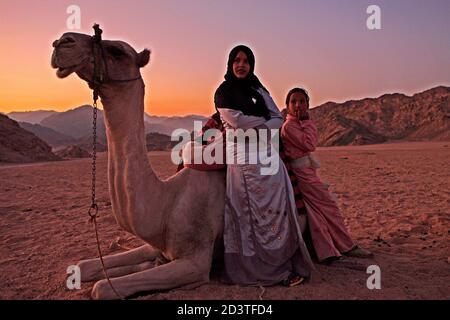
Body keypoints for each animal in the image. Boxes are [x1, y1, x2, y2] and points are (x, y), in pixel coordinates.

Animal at [51, 31, 225, 298]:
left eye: (117, 51)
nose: (62, 41)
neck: (167, 201)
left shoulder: (195, 261)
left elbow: (102, 288)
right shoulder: (158, 243)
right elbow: (84, 265)